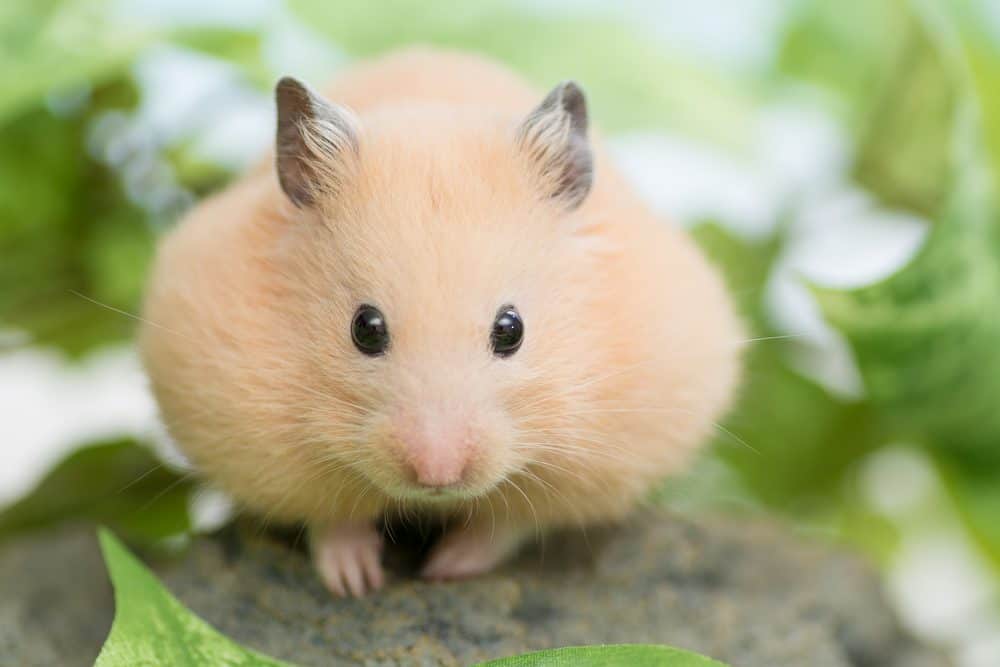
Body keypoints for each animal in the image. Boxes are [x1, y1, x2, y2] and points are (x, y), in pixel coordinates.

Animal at [140, 48, 743, 597]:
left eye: (511, 329)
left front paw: (445, 569)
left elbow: (509, 522)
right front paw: (354, 582)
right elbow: (329, 518)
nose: (438, 475)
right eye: (365, 328)